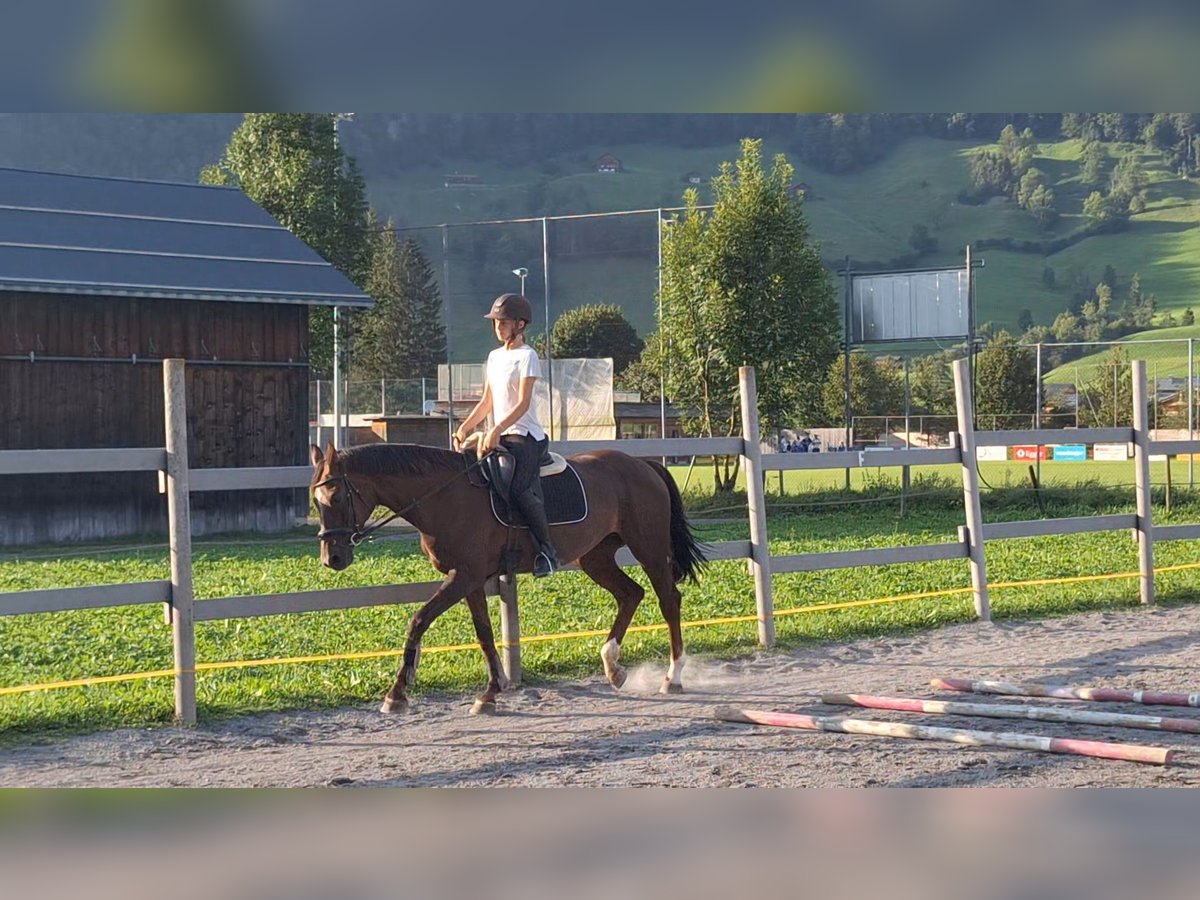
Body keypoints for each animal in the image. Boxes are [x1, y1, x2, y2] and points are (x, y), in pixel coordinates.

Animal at [309, 441, 700, 715]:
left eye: (337, 496)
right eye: (316, 501)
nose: (333, 558)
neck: (445, 496)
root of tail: (642, 464)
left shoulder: (464, 576)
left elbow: (418, 620)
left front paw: (397, 694)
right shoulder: (469, 579)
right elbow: (483, 634)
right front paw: (490, 693)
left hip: (648, 548)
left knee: (668, 600)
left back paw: (673, 677)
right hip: (596, 557)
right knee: (630, 594)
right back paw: (613, 667)